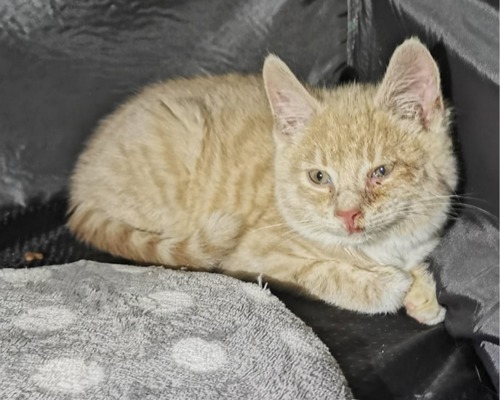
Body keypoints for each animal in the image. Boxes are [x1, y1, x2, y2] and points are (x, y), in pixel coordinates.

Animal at [69, 38, 458, 324]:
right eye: (319, 177)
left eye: (381, 172)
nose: (348, 216)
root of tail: (80, 184)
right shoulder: (254, 257)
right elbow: (320, 273)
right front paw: (385, 286)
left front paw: (422, 291)